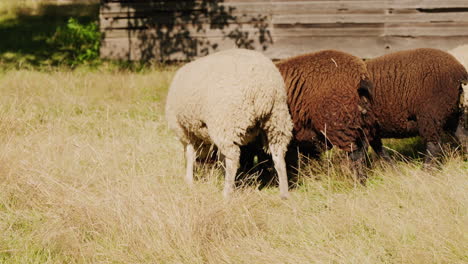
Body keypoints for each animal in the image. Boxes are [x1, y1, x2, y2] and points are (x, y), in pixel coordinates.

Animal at [166, 48, 292, 199]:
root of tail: (261, 88)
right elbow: (220, 157)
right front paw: (219, 174)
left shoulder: (183, 130)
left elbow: (190, 154)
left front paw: (189, 180)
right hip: (277, 119)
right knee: (279, 155)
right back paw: (284, 193)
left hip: (227, 121)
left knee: (233, 158)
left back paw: (226, 193)